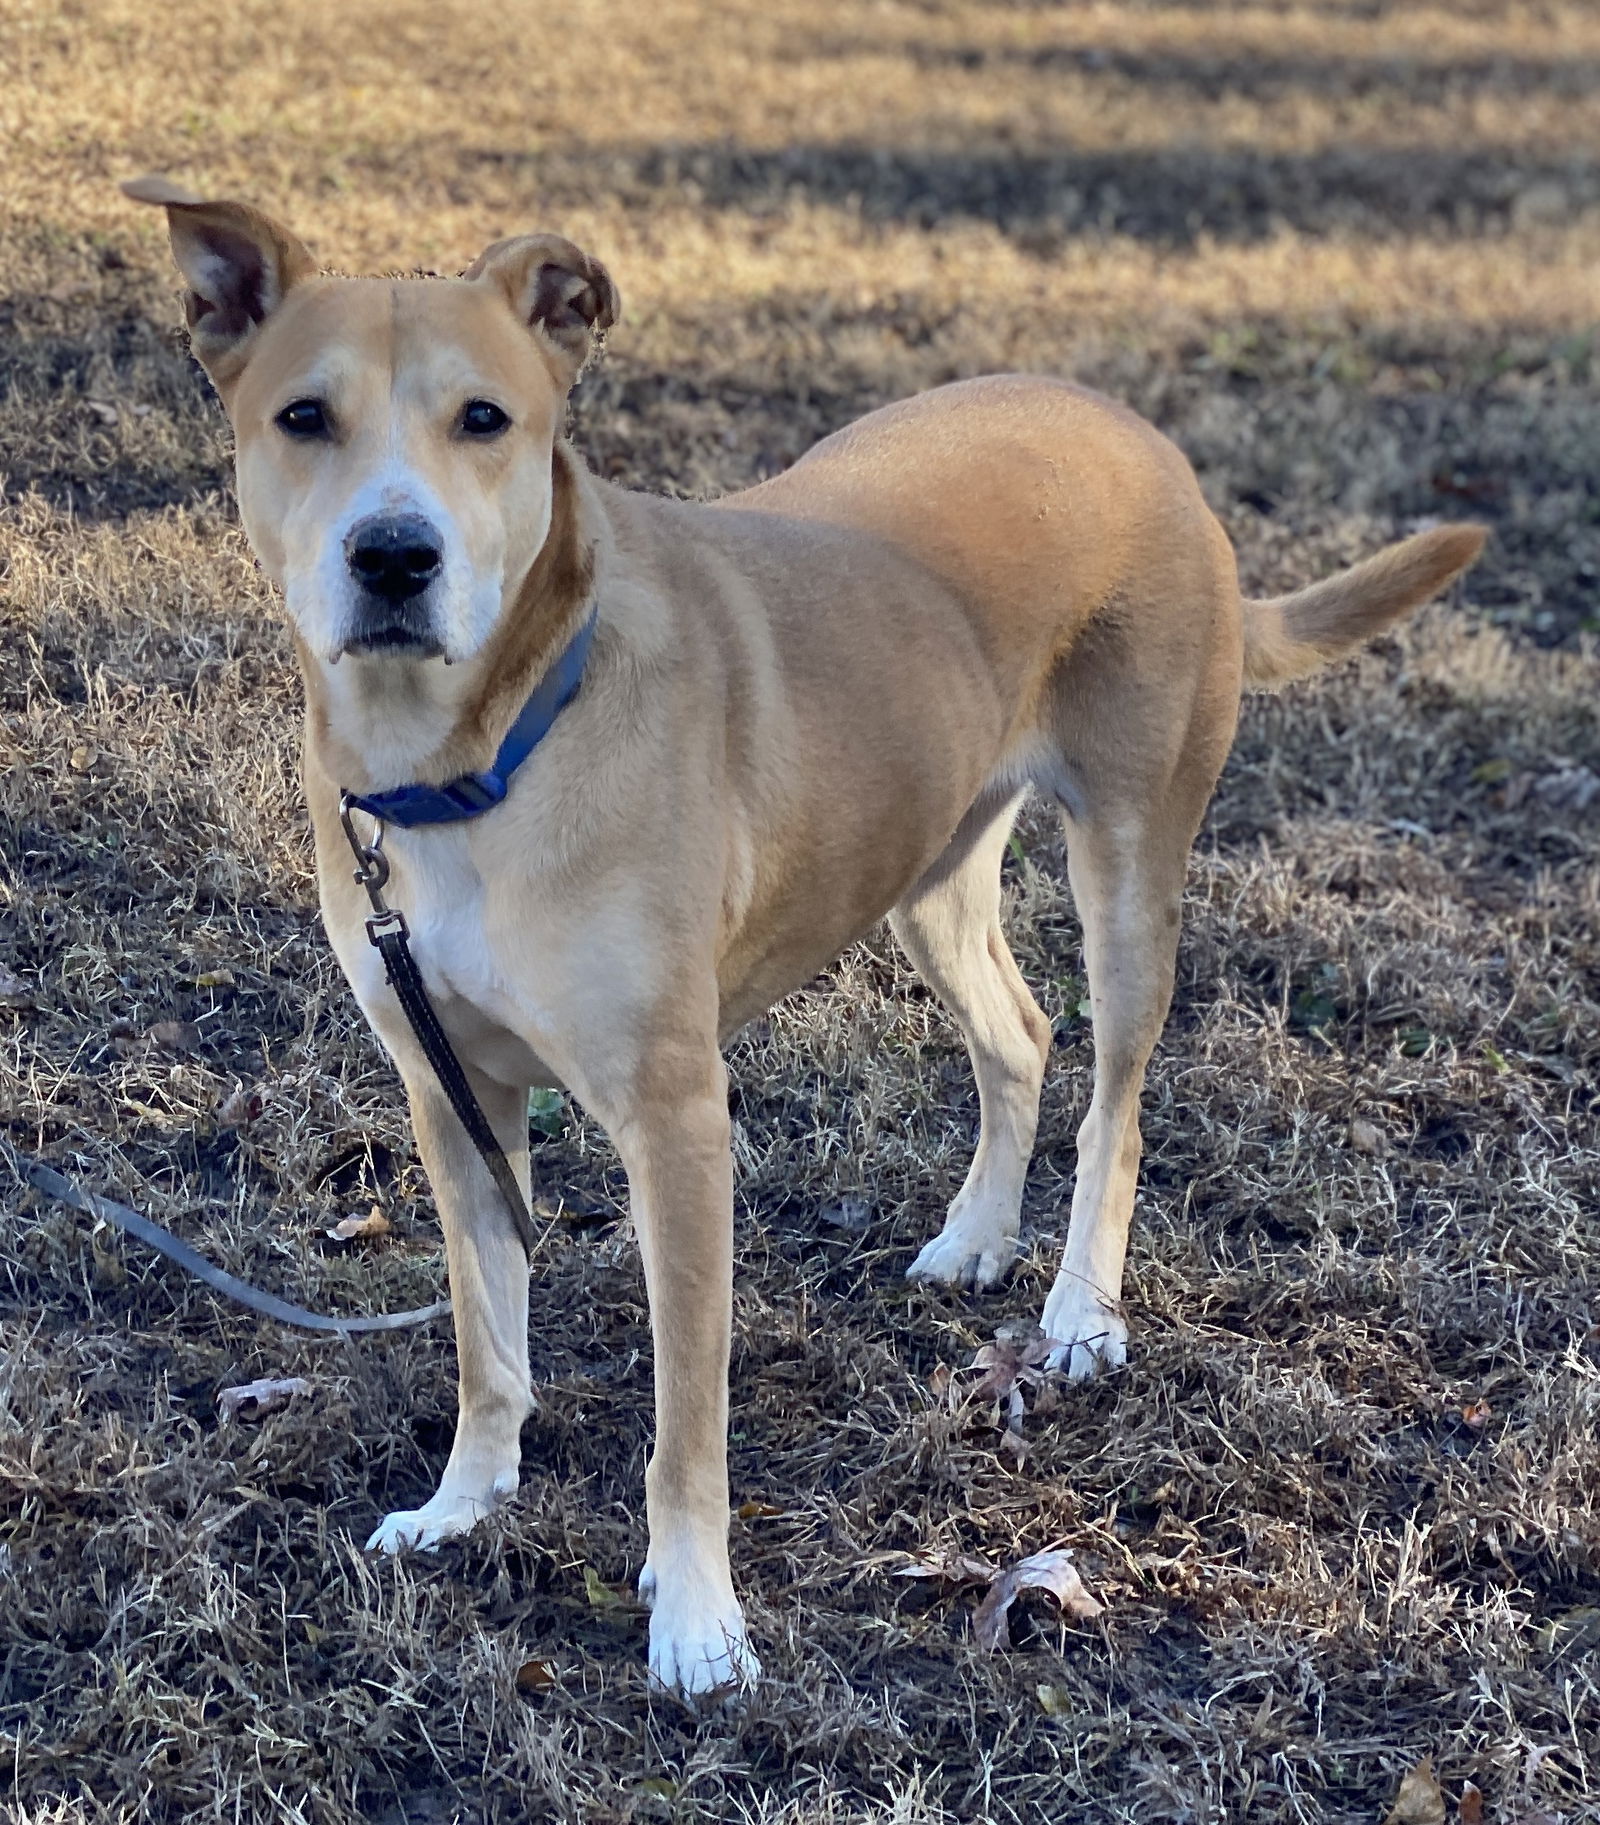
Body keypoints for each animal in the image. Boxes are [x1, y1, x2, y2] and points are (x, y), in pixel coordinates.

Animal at [127, 177, 1488, 1700]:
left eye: (485, 419)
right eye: (304, 416)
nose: (394, 556)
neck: (482, 755)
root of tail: (1142, 437)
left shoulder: (676, 1121)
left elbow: (687, 1420)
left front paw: (696, 1618)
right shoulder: (449, 1092)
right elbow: (488, 1342)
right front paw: (465, 1503)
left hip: (1135, 861)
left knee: (1119, 1101)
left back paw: (1081, 1311)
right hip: (926, 864)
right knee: (1020, 1034)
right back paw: (975, 1237)